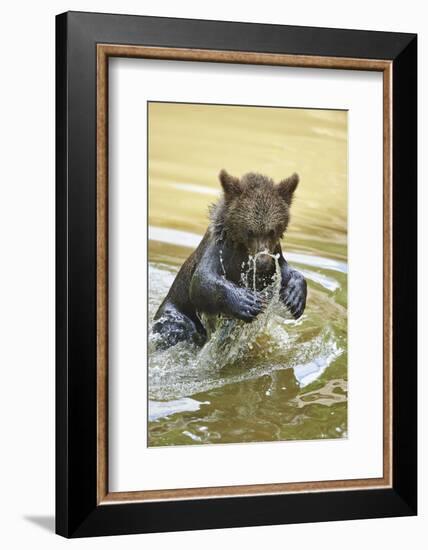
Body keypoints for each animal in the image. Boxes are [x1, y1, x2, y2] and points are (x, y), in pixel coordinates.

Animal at [153, 170, 308, 350]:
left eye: (272, 231)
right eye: (250, 231)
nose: (262, 263)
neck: (242, 248)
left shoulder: (275, 253)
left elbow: (286, 271)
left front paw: (295, 297)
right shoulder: (219, 251)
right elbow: (201, 281)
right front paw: (247, 302)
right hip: (174, 310)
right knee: (176, 325)